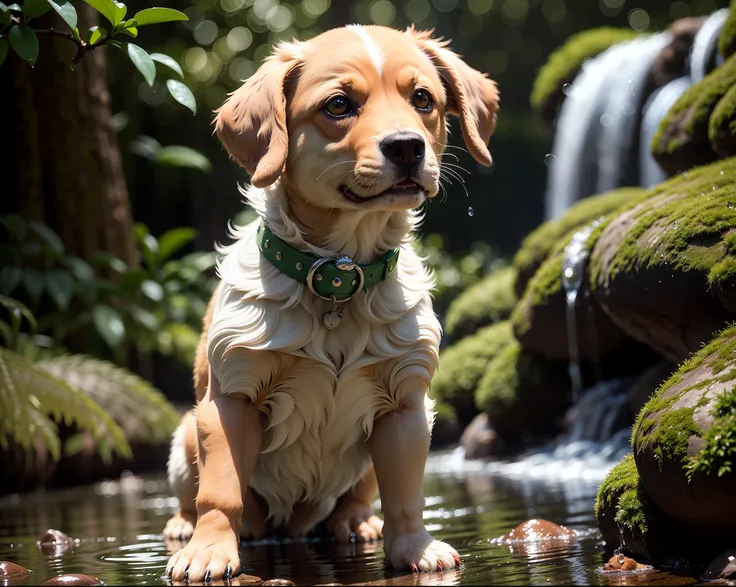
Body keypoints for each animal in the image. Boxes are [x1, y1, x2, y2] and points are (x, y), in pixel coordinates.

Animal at [165, 24, 500, 584]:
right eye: (339, 104)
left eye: (423, 99)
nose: (407, 147)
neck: (340, 278)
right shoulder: (230, 400)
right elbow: (221, 491)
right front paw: (209, 550)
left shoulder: (405, 406)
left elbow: (406, 494)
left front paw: (414, 547)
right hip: (183, 439)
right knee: (193, 497)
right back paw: (182, 527)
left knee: (360, 498)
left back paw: (357, 523)